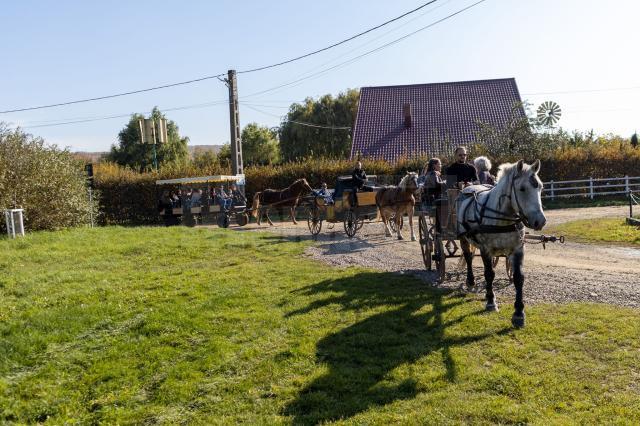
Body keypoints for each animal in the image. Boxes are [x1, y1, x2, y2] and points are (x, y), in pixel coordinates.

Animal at [458, 160, 548, 330]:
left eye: (540, 187)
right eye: (522, 188)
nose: (540, 221)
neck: (501, 218)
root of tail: (468, 187)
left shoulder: (518, 249)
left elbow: (519, 278)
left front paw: (519, 313)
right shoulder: (485, 249)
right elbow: (489, 274)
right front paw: (491, 302)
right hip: (463, 238)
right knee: (468, 257)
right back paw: (471, 282)